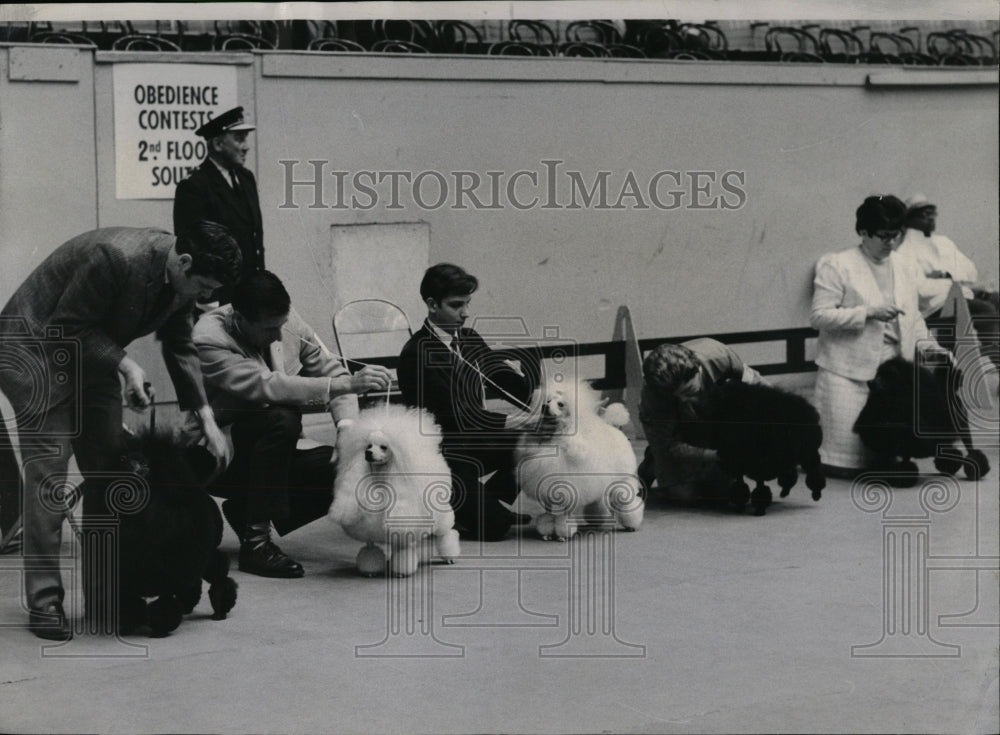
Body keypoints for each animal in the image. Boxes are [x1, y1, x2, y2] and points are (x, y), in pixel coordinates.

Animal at [83, 432, 237, 640]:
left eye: (145, 466)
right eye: (123, 461)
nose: (131, 474)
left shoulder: (167, 577)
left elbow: (165, 607)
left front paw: (160, 629)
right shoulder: (125, 579)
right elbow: (127, 604)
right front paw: (126, 626)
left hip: (206, 555)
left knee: (218, 575)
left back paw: (219, 609)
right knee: (193, 583)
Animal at [328, 406, 460, 576]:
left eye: (384, 447)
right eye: (368, 446)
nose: (368, 454)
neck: (380, 478)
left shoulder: (403, 530)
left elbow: (403, 552)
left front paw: (402, 571)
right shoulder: (369, 534)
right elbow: (370, 550)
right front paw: (370, 570)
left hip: (441, 518)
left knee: (445, 534)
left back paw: (450, 557)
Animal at [512, 380, 644, 540]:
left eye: (560, 404)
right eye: (548, 401)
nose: (544, 406)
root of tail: (614, 427)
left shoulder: (566, 492)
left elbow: (563, 518)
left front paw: (562, 534)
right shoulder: (546, 493)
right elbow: (549, 515)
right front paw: (547, 533)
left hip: (623, 480)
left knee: (627, 502)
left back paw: (632, 525)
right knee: (598, 501)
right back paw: (596, 520)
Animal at [688, 380, 828, 516]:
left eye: (714, 396)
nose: (694, 404)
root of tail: (810, 410)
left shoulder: (759, 469)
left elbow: (760, 491)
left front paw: (759, 510)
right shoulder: (738, 468)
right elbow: (739, 488)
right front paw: (740, 507)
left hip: (809, 455)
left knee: (815, 474)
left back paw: (816, 494)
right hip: (788, 457)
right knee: (790, 475)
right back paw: (784, 491)